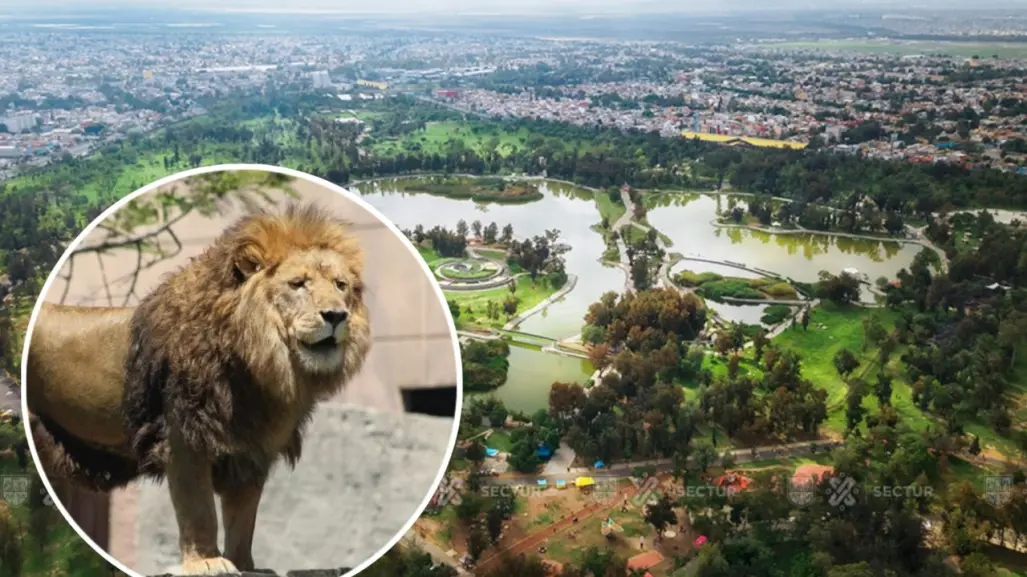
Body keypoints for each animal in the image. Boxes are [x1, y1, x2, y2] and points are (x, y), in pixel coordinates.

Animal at [25, 201, 373, 570]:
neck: (256, 367)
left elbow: (243, 517)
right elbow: (198, 508)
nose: (336, 315)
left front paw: (245, 565)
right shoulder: (184, 437)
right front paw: (206, 562)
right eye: (298, 284)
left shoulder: (251, 448)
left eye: (340, 285)